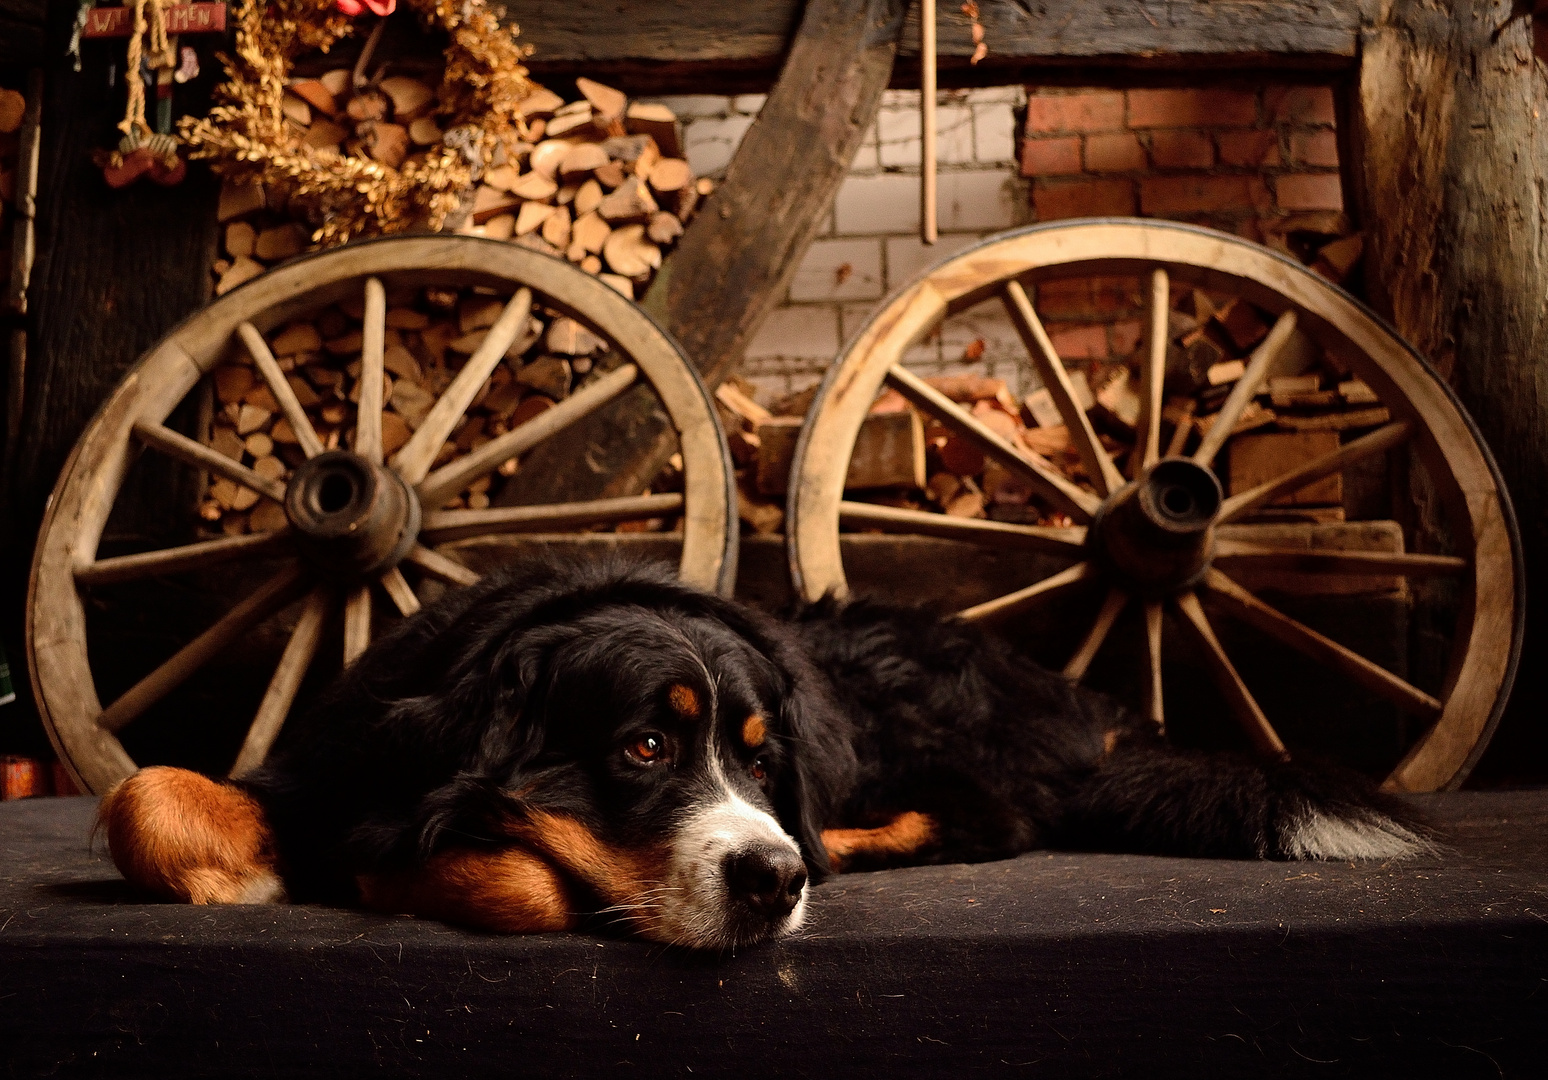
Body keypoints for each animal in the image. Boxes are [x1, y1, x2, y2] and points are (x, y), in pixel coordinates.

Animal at [93, 560, 1424, 946]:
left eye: (762, 760)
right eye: (642, 745)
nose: (769, 882)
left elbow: (518, 874)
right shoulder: (324, 758)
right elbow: (145, 793)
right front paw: (246, 864)